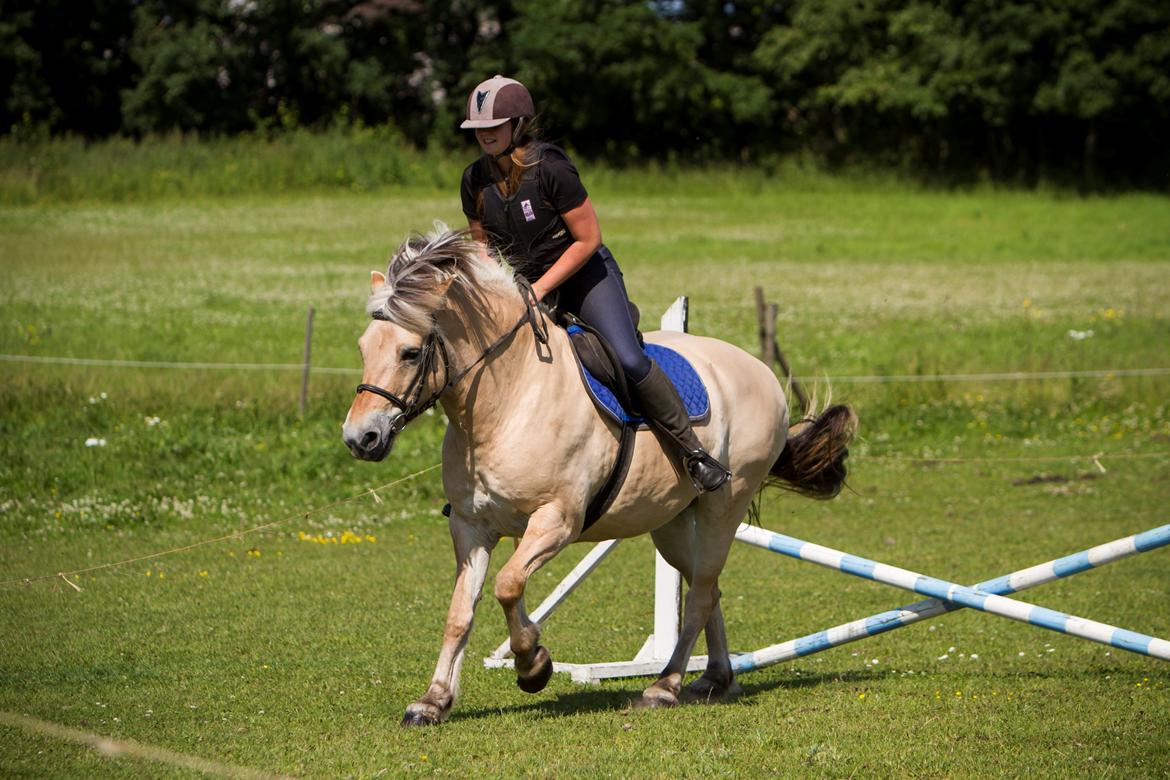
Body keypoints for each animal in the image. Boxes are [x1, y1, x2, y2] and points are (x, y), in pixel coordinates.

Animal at [341, 225, 856, 725]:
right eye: (363, 347)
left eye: (410, 353)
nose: (360, 438)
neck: (508, 400)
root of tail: (760, 371)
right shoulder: (472, 526)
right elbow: (462, 610)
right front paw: (433, 701)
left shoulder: (557, 520)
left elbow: (509, 585)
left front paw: (533, 664)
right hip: (671, 522)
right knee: (706, 587)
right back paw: (714, 679)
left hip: (722, 506)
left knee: (701, 592)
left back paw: (665, 686)